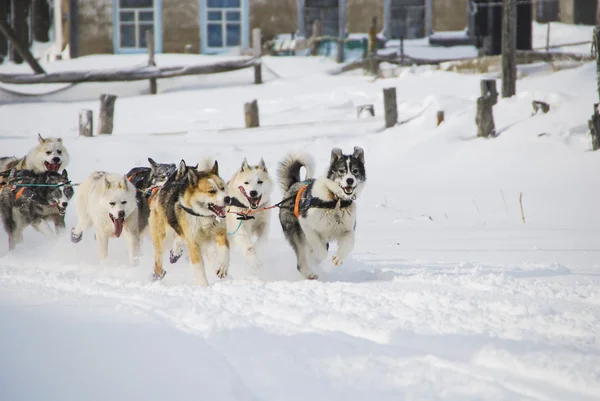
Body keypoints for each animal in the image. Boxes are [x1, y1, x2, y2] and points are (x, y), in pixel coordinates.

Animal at [276, 146, 366, 278]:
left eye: (355, 171)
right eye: (341, 171)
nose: (350, 180)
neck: (335, 201)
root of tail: (293, 186)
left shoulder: (348, 229)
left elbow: (350, 243)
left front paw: (338, 258)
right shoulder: (306, 224)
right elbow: (320, 252)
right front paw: (315, 256)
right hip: (295, 231)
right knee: (301, 259)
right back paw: (309, 273)